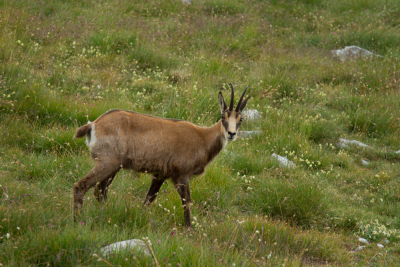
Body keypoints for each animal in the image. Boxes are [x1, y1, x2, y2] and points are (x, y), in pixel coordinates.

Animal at [72, 84, 250, 228]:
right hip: (107, 163)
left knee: (100, 191)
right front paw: (189, 230)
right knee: (81, 186)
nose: (231, 134)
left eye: (240, 119)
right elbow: (187, 202)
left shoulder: (161, 174)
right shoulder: (181, 176)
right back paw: (78, 221)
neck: (202, 138)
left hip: (112, 167)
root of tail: (94, 124)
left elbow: (149, 199)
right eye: (223, 117)